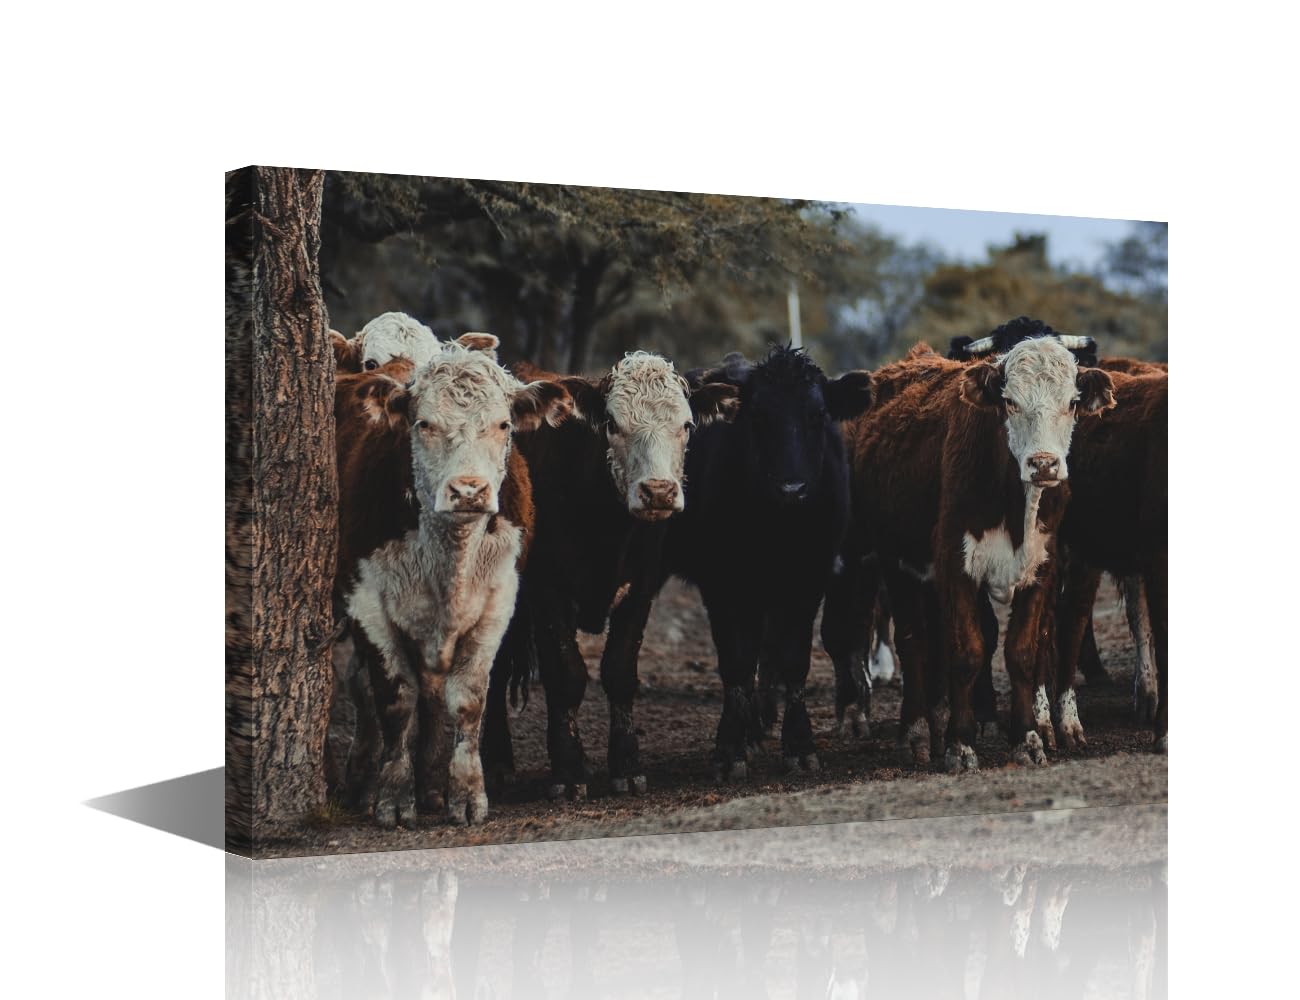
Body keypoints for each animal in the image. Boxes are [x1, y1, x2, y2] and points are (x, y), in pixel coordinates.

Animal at [335, 338, 572, 826]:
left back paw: (429, 787)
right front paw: (392, 797)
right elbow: (395, 697)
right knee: (365, 688)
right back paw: (362, 783)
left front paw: (466, 795)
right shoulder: (366, 602)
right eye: (423, 423)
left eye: (503, 424)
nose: (468, 491)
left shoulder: (498, 601)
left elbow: (467, 699)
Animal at [479, 352, 740, 799]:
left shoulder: (640, 589)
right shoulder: (547, 592)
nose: (658, 492)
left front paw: (626, 767)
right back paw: (496, 763)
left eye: (686, 425)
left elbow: (619, 672)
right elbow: (566, 676)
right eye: (614, 425)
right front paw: (568, 773)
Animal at [836, 338, 1115, 771]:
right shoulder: (956, 565)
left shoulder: (1042, 568)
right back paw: (915, 733)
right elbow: (967, 652)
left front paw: (1027, 739)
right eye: (1010, 402)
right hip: (895, 562)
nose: (1044, 464)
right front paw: (961, 745)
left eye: (1071, 402)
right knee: (913, 642)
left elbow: (1021, 653)